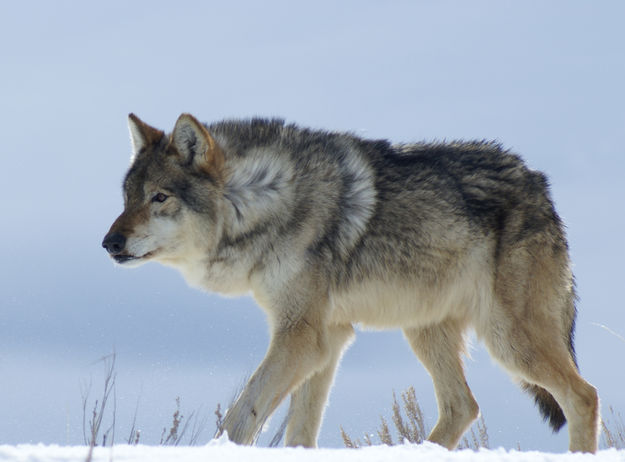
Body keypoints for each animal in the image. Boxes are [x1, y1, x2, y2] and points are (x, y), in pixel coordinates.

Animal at [102, 113, 600, 452]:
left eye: (159, 198)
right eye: (126, 199)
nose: (109, 242)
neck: (261, 198)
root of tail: (538, 183)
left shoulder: (301, 336)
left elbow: (243, 415)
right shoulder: (328, 336)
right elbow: (299, 430)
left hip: (508, 339)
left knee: (583, 395)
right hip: (425, 331)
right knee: (463, 406)